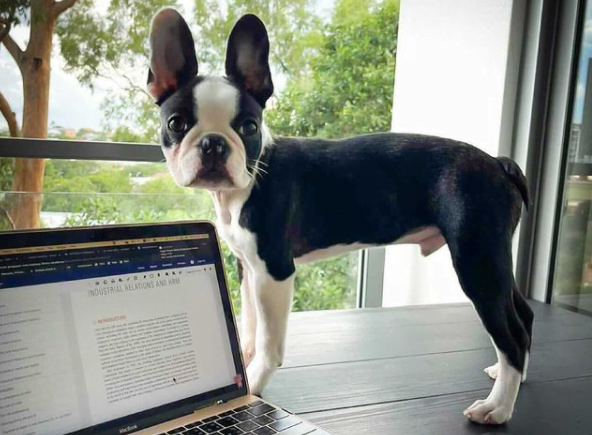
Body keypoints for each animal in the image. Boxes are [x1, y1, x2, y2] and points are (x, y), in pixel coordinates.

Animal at [147, 9, 532, 426]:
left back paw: (498, 407)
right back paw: (512, 377)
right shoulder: (247, 267)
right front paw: (244, 365)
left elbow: (268, 341)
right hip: (493, 257)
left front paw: (256, 380)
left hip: (477, 261)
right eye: (176, 124)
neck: (247, 181)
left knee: (511, 336)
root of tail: (498, 162)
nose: (214, 143)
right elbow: (249, 324)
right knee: (523, 315)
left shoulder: (274, 271)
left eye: (249, 127)